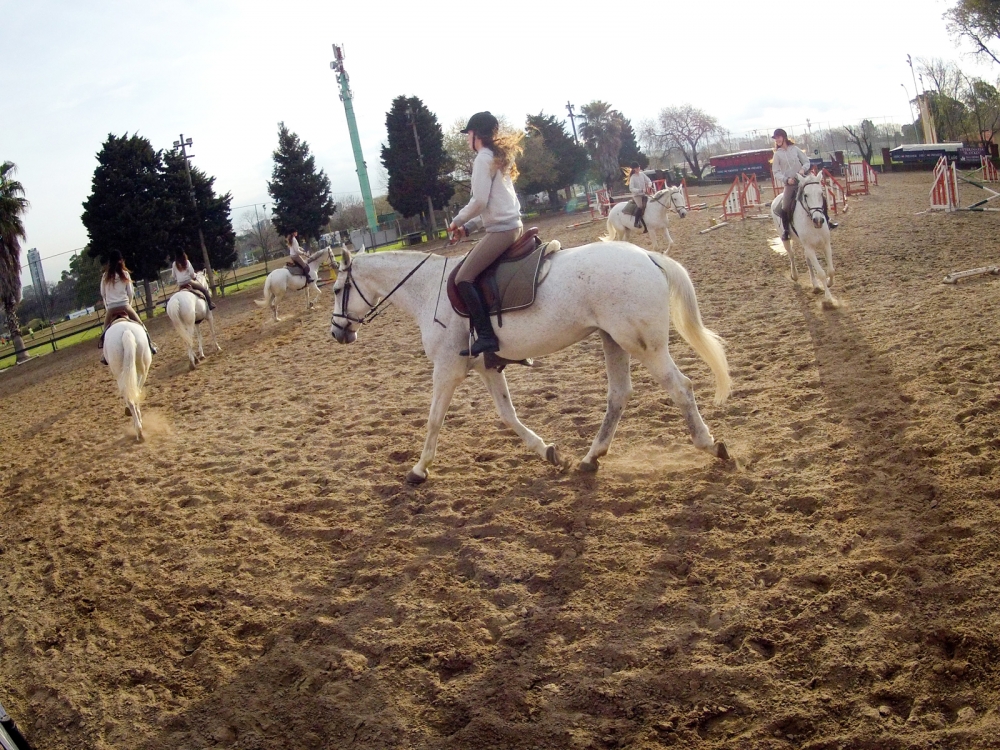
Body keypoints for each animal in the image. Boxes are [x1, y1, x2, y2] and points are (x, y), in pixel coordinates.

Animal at [332, 244, 732, 484]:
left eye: (337, 290)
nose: (337, 332)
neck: (430, 290)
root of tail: (648, 256)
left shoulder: (446, 370)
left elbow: (433, 419)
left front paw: (418, 469)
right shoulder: (488, 367)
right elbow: (507, 415)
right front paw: (548, 452)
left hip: (644, 346)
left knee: (680, 387)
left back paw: (712, 446)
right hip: (614, 341)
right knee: (618, 395)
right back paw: (590, 458)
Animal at [768, 174, 840, 308]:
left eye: (821, 193)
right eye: (806, 195)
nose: (818, 220)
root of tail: (777, 198)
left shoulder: (826, 245)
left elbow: (831, 270)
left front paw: (829, 283)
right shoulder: (810, 248)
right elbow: (821, 273)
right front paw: (829, 299)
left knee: (808, 262)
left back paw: (815, 285)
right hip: (786, 240)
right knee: (791, 255)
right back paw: (795, 276)